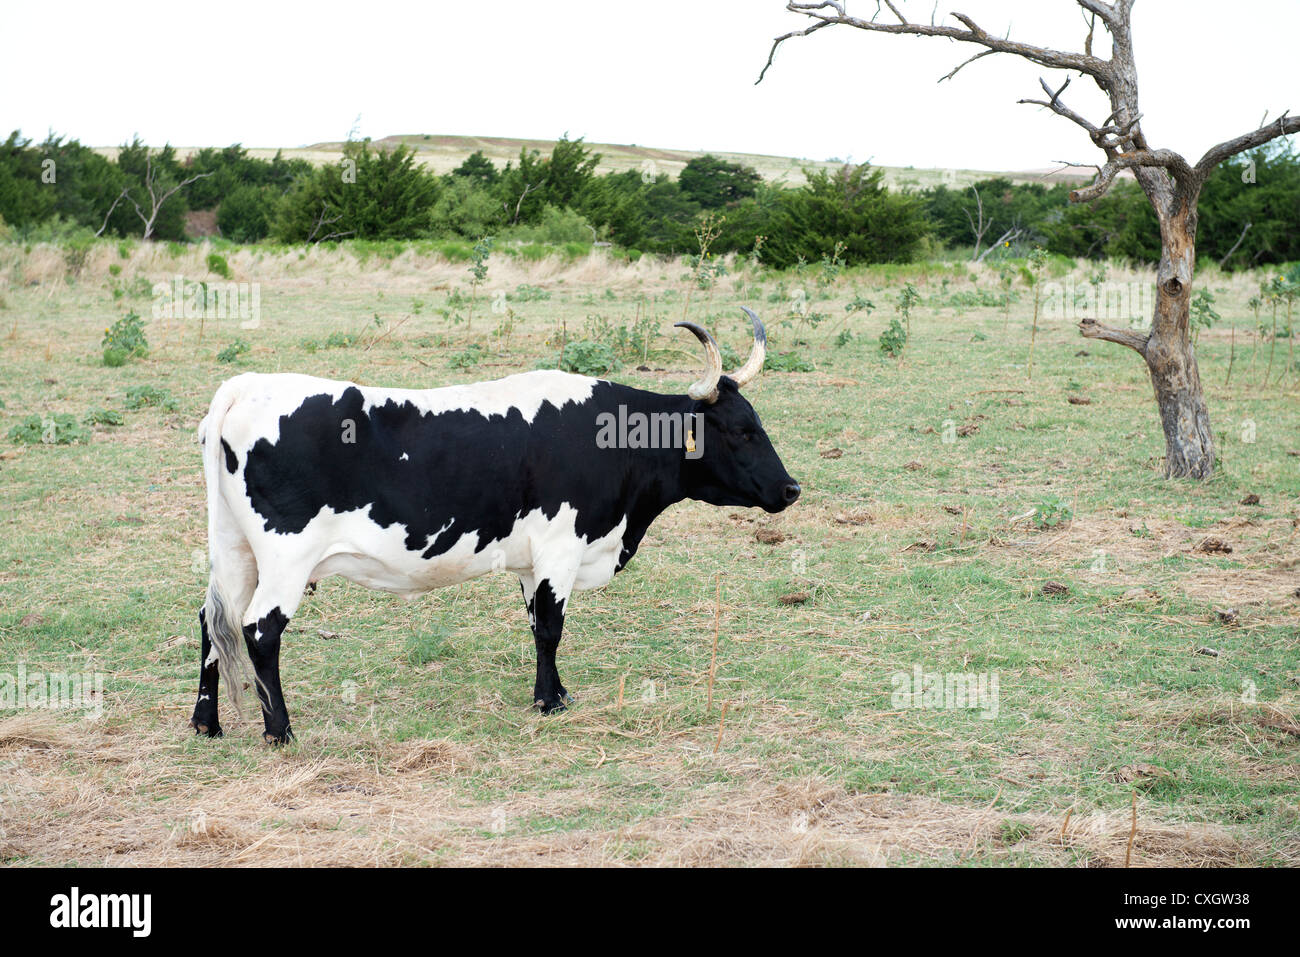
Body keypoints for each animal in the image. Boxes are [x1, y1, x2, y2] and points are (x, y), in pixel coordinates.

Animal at [192, 306, 795, 738]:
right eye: (739, 430)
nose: (791, 489)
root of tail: (244, 387)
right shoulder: (560, 546)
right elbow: (551, 627)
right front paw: (551, 703)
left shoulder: (532, 561)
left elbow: (536, 626)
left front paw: (552, 694)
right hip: (285, 558)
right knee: (259, 629)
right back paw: (280, 730)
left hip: (233, 551)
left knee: (212, 620)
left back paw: (206, 723)